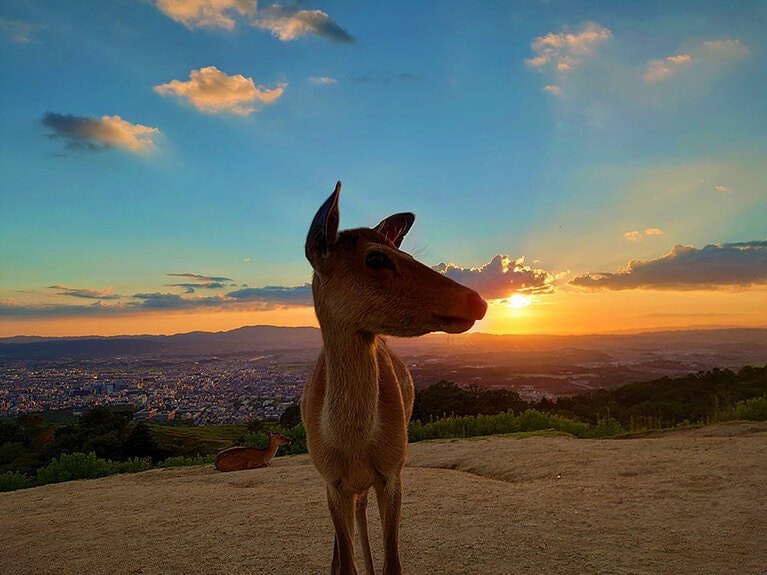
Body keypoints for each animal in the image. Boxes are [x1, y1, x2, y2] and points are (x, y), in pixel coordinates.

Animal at [302, 183, 486, 575]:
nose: (477, 301)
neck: (351, 444)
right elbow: (347, 563)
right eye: (376, 259)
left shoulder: (393, 471)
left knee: (361, 511)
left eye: (404, 252)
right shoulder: (331, 481)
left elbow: (394, 565)